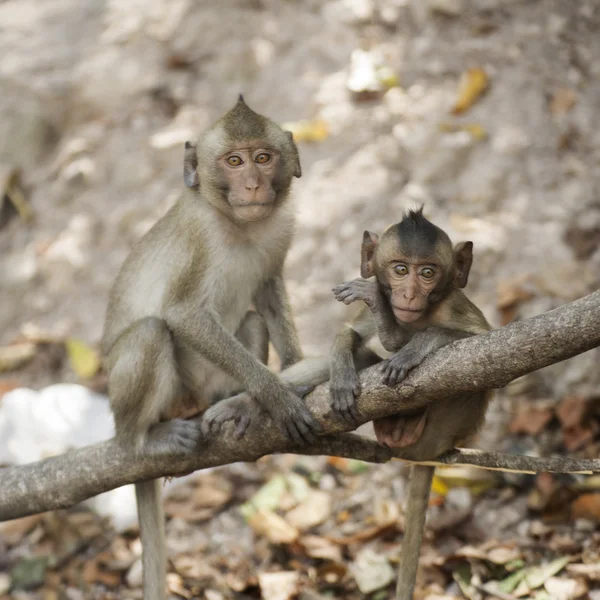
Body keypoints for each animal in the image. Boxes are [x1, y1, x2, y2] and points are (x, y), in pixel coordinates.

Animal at [101, 96, 322, 596]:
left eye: (263, 157)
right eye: (234, 161)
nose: (253, 183)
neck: (238, 224)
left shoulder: (281, 230)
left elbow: (267, 290)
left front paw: (292, 371)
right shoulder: (199, 238)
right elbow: (183, 315)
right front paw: (277, 395)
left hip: (206, 386)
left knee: (252, 320)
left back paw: (240, 403)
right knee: (150, 331)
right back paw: (144, 439)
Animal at [330, 207, 490, 600]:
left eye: (427, 273)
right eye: (400, 270)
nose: (409, 293)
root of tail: (425, 451)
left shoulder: (456, 306)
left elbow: (486, 348)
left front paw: (414, 346)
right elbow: (351, 333)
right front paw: (342, 370)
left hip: (448, 425)